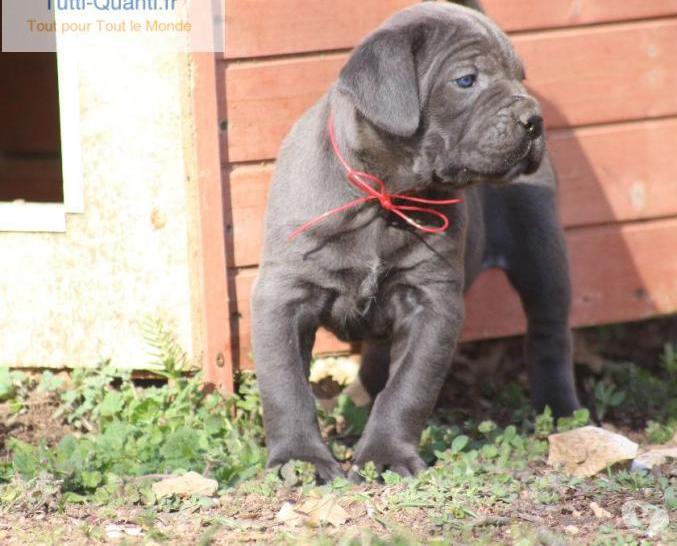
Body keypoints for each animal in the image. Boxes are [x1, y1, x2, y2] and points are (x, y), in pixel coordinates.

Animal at [251, 0, 580, 478]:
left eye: (521, 77)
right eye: (466, 80)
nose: (534, 120)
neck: (385, 198)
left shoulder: (432, 302)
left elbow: (407, 389)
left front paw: (385, 455)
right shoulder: (283, 296)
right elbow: (286, 386)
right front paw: (300, 458)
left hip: (541, 249)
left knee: (549, 330)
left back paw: (561, 411)